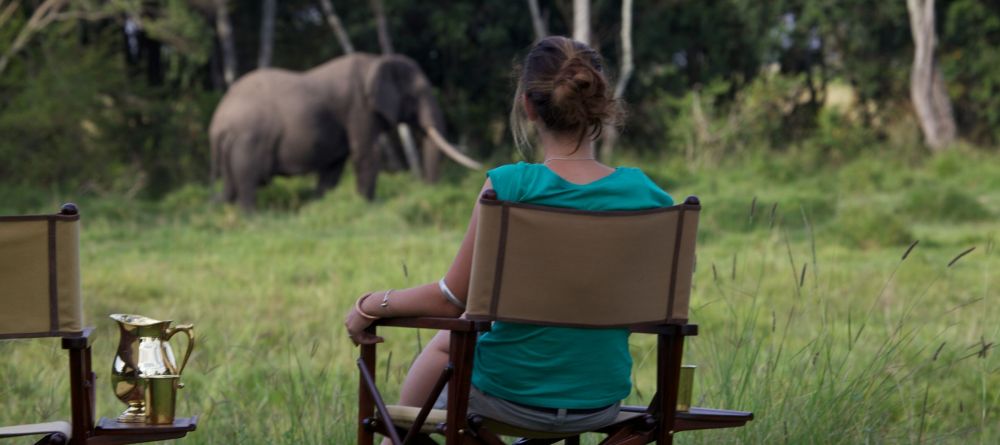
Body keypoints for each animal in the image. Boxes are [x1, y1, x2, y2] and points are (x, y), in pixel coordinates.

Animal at [207, 53, 480, 211]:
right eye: (415, 96)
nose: (428, 193)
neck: (375, 61)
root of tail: (218, 120)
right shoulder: (358, 107)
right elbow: (366, 153)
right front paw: (369, 207)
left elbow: (334, 166)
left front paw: (321, 205)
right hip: (247, 141)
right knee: (247, 181)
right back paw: (251, 218)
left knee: (230, 187)